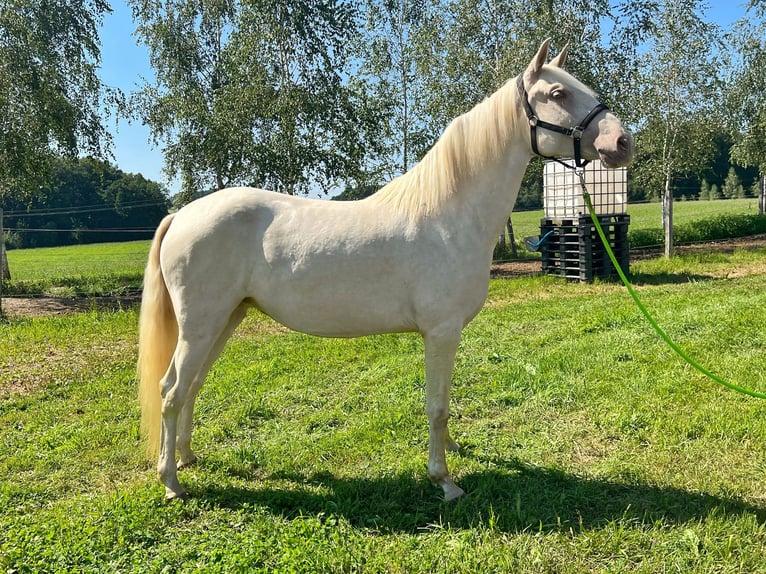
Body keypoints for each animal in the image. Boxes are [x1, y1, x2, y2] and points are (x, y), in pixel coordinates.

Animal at [138, 39, 636, 504]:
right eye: (558, 93)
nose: (622, 143)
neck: (449, 215)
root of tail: (181, 215)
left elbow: (445, 402)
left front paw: (451, 451)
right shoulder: (441, 331)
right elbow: (436, 406)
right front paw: (444, 480)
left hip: (225, 319)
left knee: (192, 386)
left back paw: (187, 458)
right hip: (200, 326)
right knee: (171, 390)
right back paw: (171, 482)